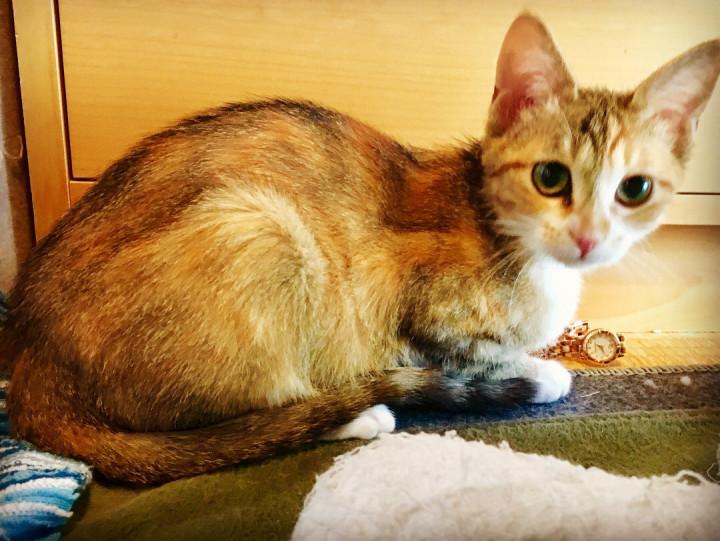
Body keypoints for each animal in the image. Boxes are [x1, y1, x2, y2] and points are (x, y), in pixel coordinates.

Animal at [1, 14, 719, 485]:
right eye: (550, 177)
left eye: (634, 189)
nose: (589, 236)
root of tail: (34, 355)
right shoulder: (417, 307)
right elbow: (478, 353)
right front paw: (540, 372)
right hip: (261, 229)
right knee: (247, 417)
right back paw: (360, 414)